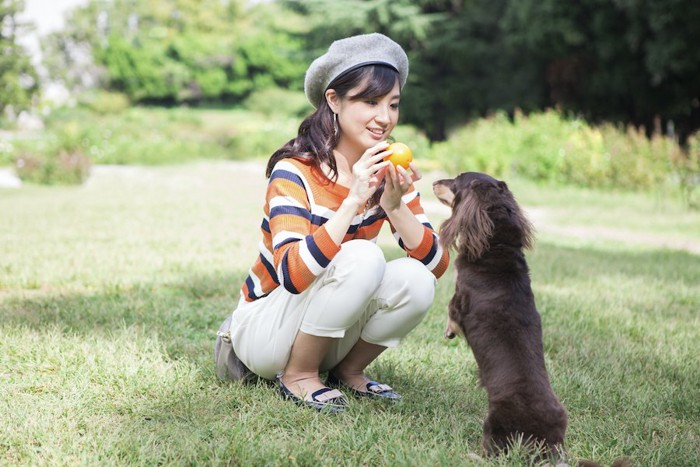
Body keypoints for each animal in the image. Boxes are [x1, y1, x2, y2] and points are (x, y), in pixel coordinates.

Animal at [432, 173, 568, 460]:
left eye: (456, 180)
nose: (434, 181)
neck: (497, 247)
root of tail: (546, 441)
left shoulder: (459, 299)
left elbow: (451, 312)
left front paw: (449, 331)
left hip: (495, 422)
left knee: (494, 452)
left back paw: (471, 455)